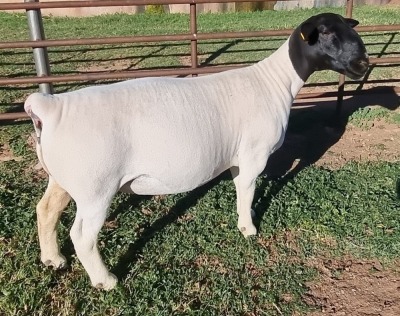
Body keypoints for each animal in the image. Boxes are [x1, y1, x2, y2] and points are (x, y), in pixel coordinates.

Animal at [24, 12, 368, 288]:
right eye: (327, 32)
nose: (363, 64)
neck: (275, 82)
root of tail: (49, 109)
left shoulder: (238, 158)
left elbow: (240, 189)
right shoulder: (254, 154)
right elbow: (247, 192)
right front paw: (249, 229)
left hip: (64, 178)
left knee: (46, 211)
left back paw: (53, 260)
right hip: (96, 186)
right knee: (82, 236)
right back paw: (105, 281)